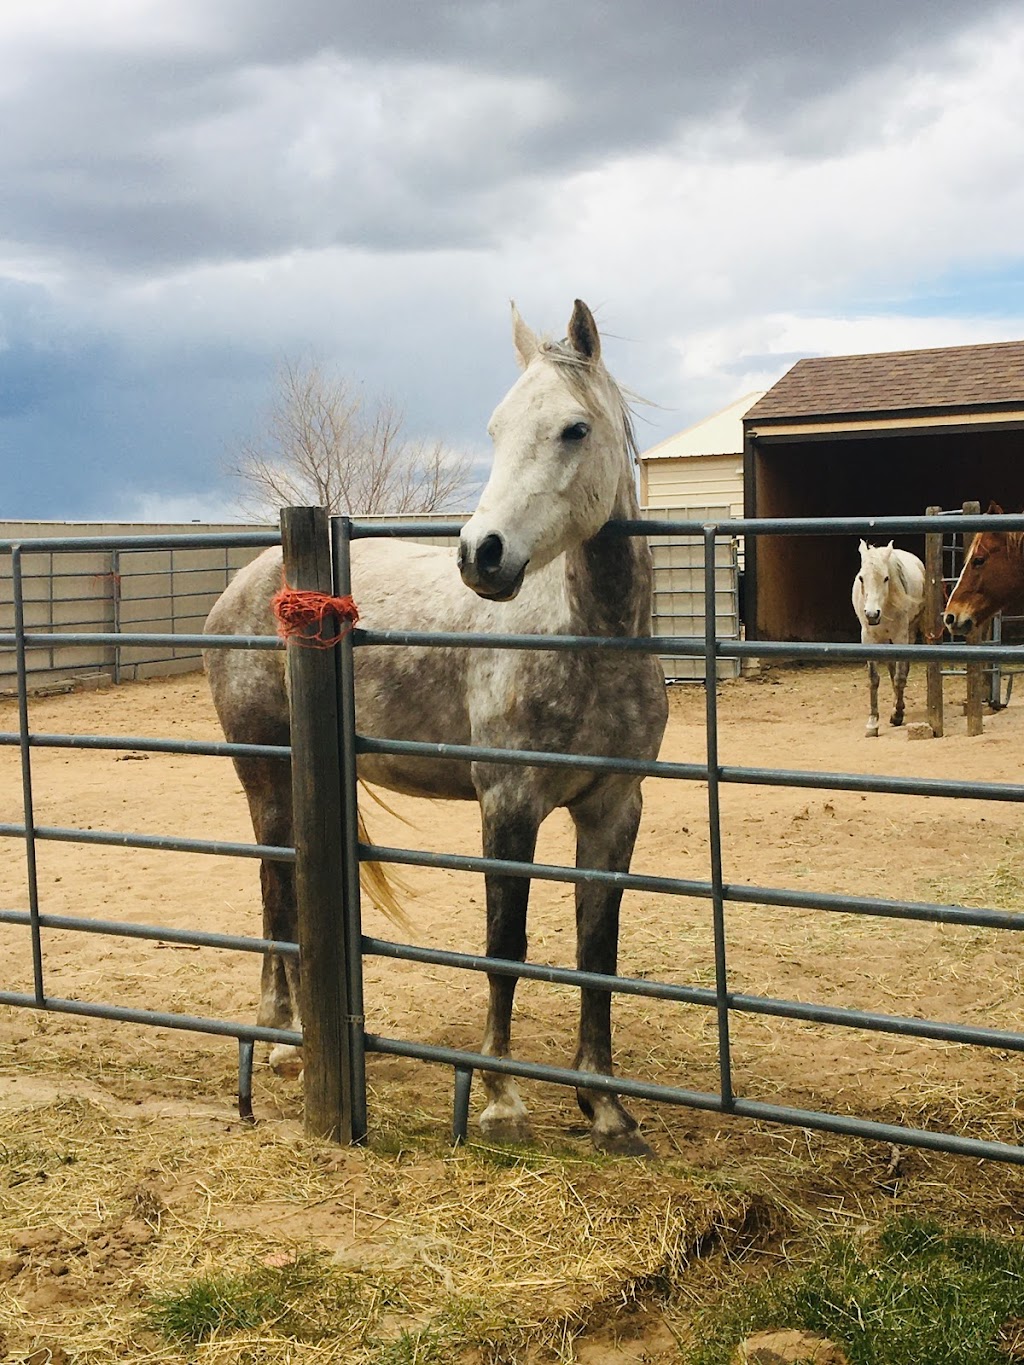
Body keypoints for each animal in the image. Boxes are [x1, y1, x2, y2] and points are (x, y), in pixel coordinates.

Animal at [208, 298, 674, 1152]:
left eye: (574, 429)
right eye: (494, 428)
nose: (480, 555)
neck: (585, 637)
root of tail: (253, 582)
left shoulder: (613, 808)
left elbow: (598, 950)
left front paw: (605, 1106)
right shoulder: (510, 803)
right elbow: (505, 946)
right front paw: (500, 1100)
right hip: (263, 773)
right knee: (275, 888)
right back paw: (282, 1037)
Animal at [851, 540, 928, 737]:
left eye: (886, 578)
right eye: (861, 578)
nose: (871, 615)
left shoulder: (901, 636)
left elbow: (900, 676)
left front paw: (898, 714)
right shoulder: (868, 638)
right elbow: (874, 678)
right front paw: (872, 723)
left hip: (909, 633)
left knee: (902, 670)